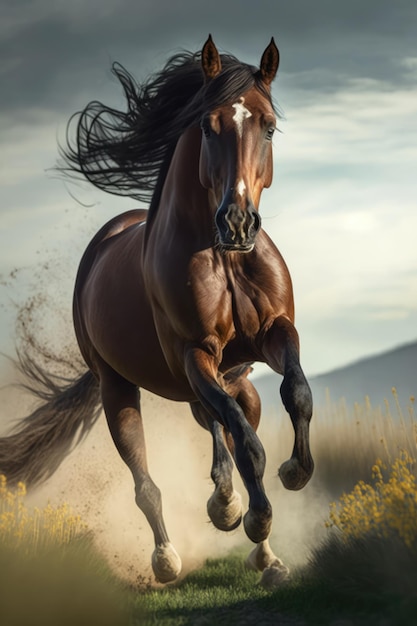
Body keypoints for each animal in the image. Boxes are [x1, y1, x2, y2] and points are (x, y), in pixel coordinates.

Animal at [0, 36, 312, 584]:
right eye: (208, 126)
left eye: (269, 125)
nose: (238, 223)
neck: (224, 257)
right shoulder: (195, 355)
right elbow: (247, 443)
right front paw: (254, 515)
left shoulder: (276, 333)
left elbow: (295, 392)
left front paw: (294, 473)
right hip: (119, 388)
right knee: (151, 478)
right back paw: (170, 556)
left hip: (231, 381)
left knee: (227, 423)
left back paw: (258, 546)